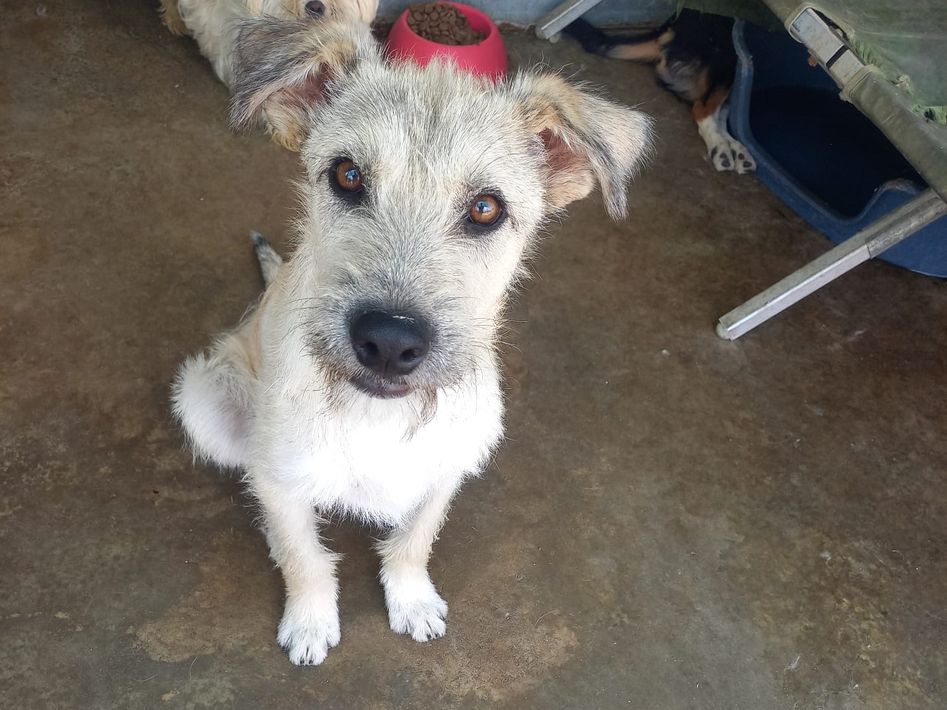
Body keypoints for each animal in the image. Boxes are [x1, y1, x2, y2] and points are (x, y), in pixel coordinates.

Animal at [171, 17, 652, 665]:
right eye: (348, 175)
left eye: (485, 208)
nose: (388, 341)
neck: (378, 415)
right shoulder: (282, 479)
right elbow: (305, 557)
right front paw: (310, 620)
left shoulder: (446, 472)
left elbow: (413, 542)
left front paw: (411, 600)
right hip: (204, 399)